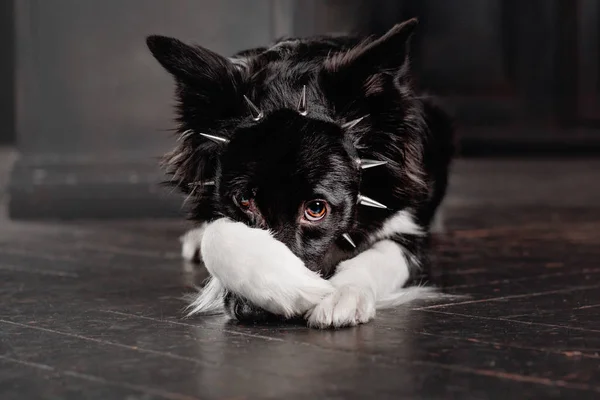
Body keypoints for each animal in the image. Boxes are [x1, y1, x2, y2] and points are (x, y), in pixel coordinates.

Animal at [146, 18, 454, 328]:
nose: (251, 311)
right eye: (243, 201)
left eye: (316, 209)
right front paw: (289, 287)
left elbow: (382, 254)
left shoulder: (407, 227)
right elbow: (216, 234)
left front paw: (343, 292)